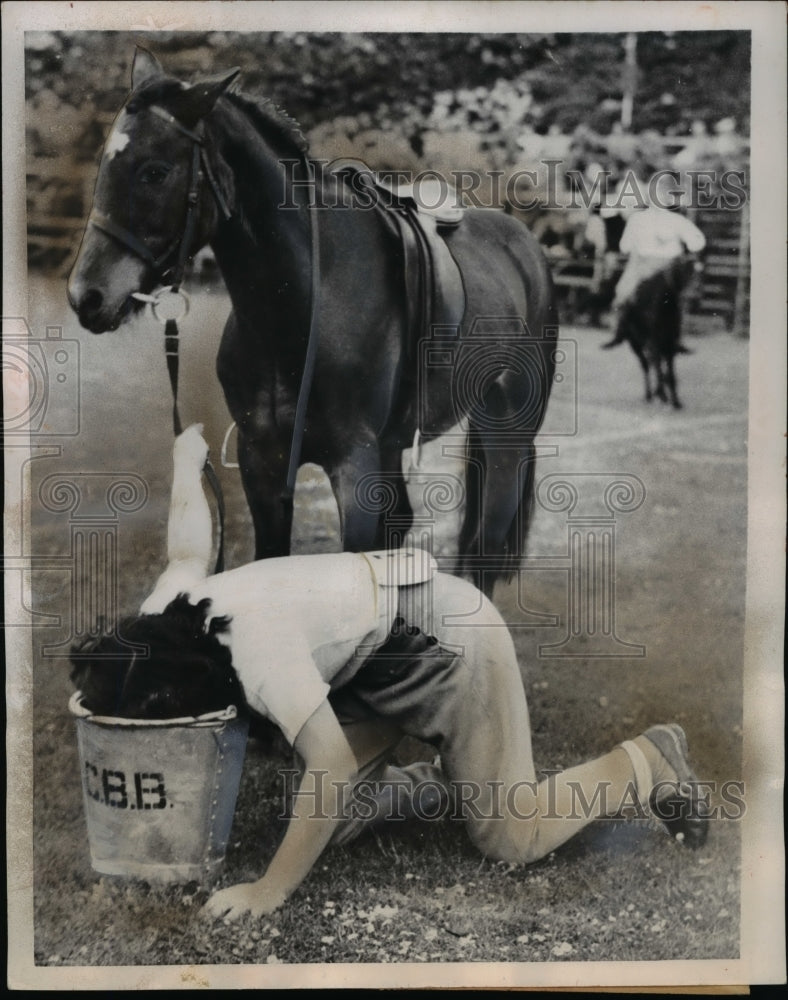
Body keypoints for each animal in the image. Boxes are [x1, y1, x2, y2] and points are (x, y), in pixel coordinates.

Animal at [67, 48, 558, 598]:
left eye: (155, 171)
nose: (87, 295)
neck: (299, 313)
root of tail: (526, 244)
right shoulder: (263, 464)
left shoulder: (354, 467)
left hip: (506, 435)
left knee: (486, 543)